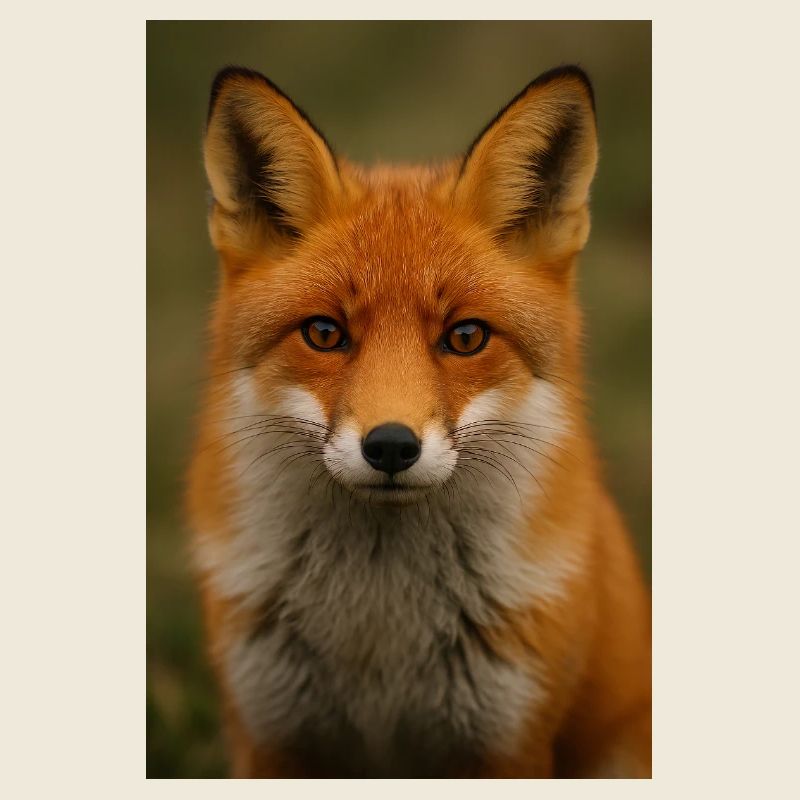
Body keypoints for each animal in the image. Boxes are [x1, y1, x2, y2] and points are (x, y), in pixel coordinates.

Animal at [187, 64, 651, 778]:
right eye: (324, 333)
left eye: (465, 337)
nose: (390, 447)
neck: (381, 631)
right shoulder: (269, 734)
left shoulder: (508, 738)